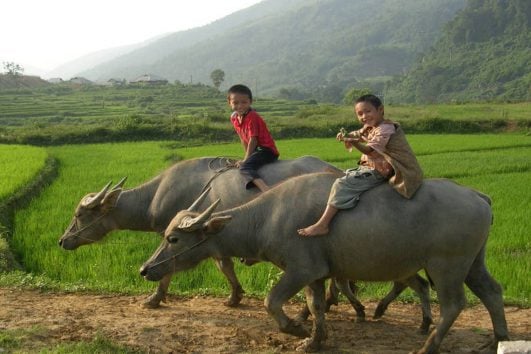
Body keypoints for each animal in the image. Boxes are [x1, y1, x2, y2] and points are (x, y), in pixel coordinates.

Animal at [141, 173, 512, 352]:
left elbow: (272, 301)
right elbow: (316, 305)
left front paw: (295, 328)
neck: (267, 217)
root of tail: (479, 196)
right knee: (492, 292)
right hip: (473, 263)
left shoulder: (300, 269)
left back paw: (428, 345)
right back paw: (498, 339)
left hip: (447, 265)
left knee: (454, 304)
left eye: (173, 239)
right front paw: (314, 339)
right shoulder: (318, 275)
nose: (146, 269)